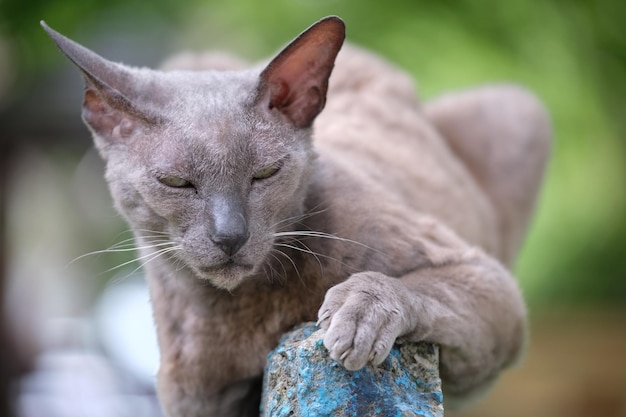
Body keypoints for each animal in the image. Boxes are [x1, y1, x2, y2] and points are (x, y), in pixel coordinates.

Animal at [42, 16, 544, 416]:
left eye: (264, 174)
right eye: (177, 183)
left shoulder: (485, 280)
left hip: (516, 111)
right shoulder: (198, 398)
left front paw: (355, 316)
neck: (253, 314)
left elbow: (407, 284)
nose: (230, 236)